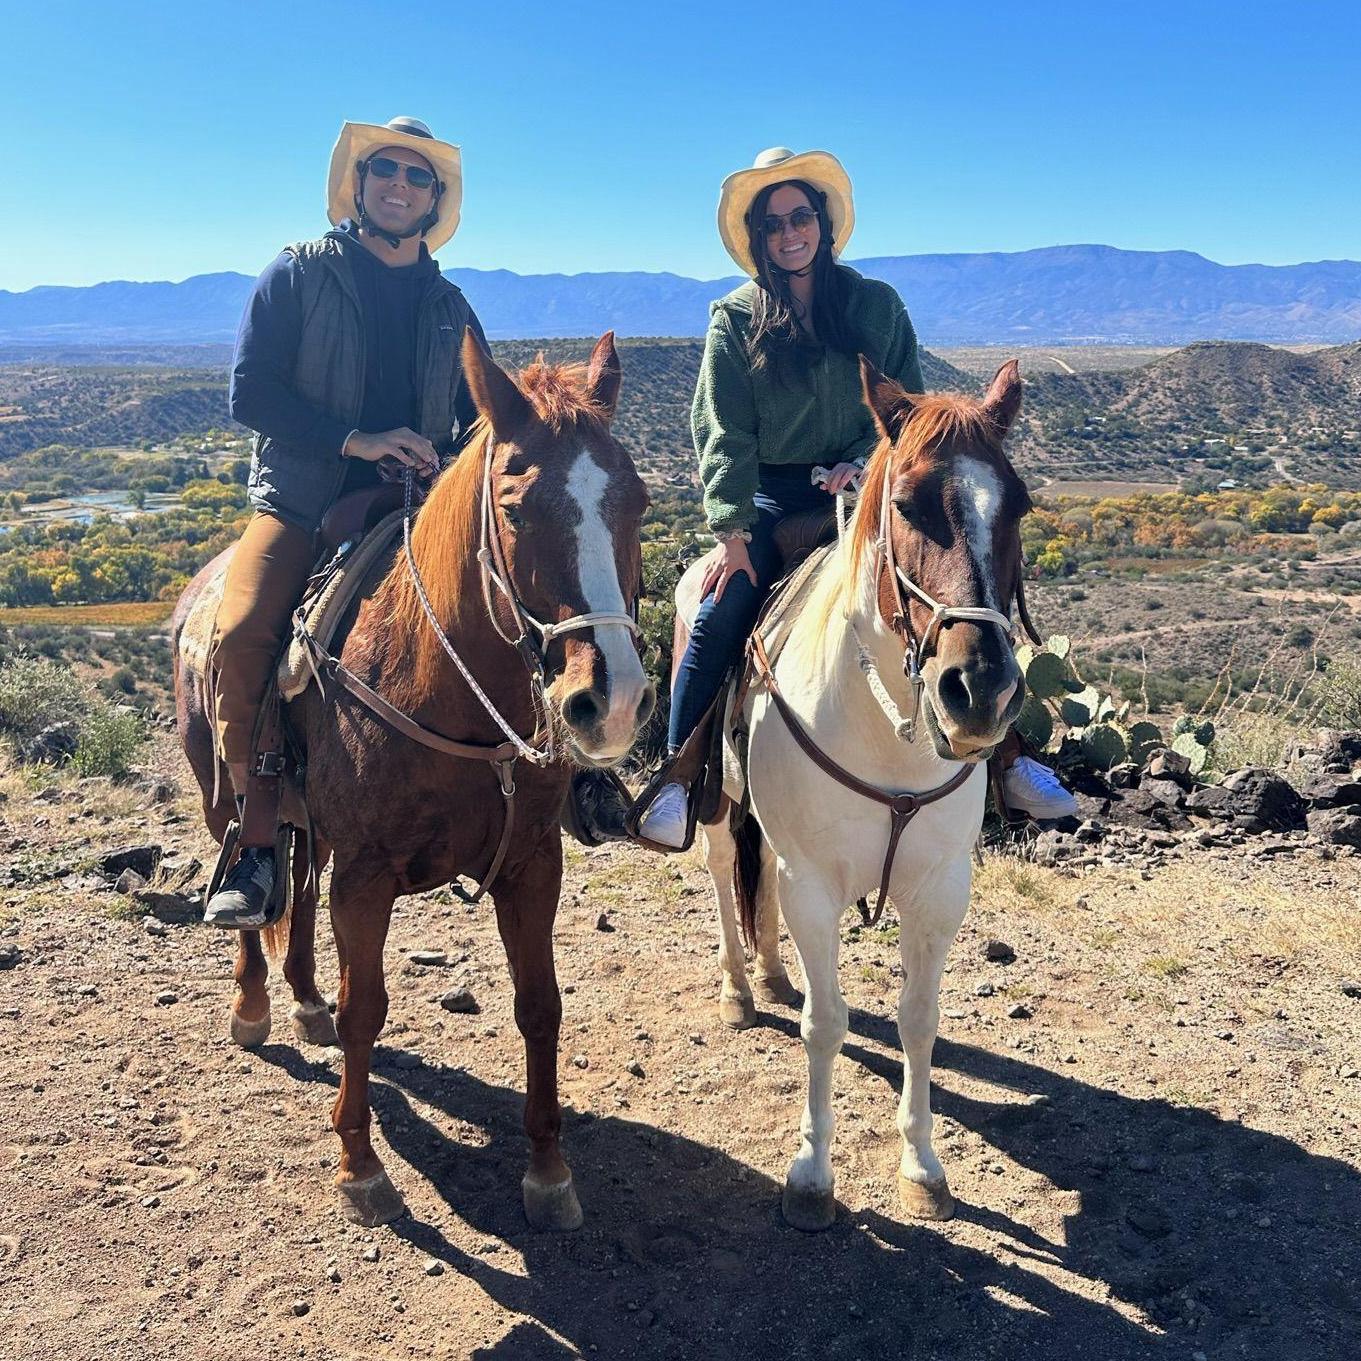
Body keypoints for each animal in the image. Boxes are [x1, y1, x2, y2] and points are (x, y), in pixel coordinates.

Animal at [702, 356, 1028, 1230]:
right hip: (720, 809)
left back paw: (770, 972)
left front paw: (922, 1165)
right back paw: (740, 987)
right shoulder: (813, 883)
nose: (977, 691)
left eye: (1018, 504)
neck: (886, 736)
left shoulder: (939, 890)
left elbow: (918, 1020)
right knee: (722, 875)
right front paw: (811, 1173)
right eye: (908, 503)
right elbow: (825, 1023)